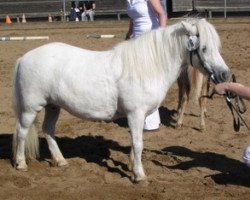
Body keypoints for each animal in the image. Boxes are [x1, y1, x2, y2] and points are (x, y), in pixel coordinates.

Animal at [12, 18, 230, 182]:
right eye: (204, 48)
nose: (225, 75)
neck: (148, 67)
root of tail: (24, 58)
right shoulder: (135, 113)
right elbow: (138, 143)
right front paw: (140, 176)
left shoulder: (139, 116)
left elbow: (134, 142)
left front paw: (133, 167)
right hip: (31, 108)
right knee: (22, 132)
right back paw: (21, 163)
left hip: (53, 106)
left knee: (48, 130)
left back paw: (60, 161)